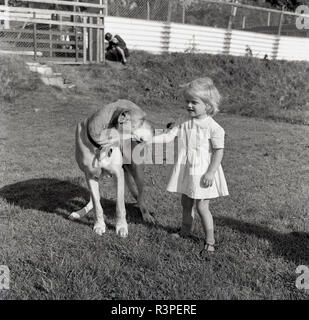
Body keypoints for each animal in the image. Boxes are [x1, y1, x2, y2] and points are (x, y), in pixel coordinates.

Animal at [70, 100, 154, 238]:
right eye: (142, 120)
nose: (155, 130)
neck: (101, 145)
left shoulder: (118, 174)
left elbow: (120, 206)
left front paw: (121, 227)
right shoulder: (90, 176)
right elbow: (97, 204)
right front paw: (99, 225)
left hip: (137, 174)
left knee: (140, 197)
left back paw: (146, 215)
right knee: (94, 199)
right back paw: (80, 212)